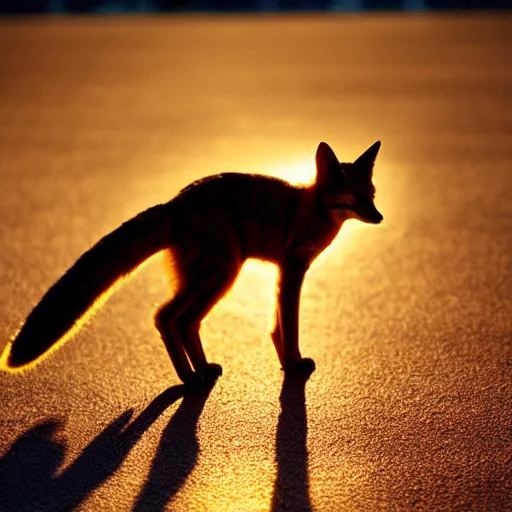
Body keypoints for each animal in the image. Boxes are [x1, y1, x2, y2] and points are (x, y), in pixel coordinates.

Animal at [2, 140, 382, 388]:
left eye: (372, 195)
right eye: (355, 198)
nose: (380, 217)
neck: (314, 210)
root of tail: (175, 202)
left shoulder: (283, 272)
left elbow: (276, 327)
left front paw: (286, 362)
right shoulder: (292, 270)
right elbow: (290, 326)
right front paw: (294, 363)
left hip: (208, 279)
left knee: (179, 321)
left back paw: (197, 373)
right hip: (220, 275)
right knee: (168, 317)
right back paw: (190, 378)